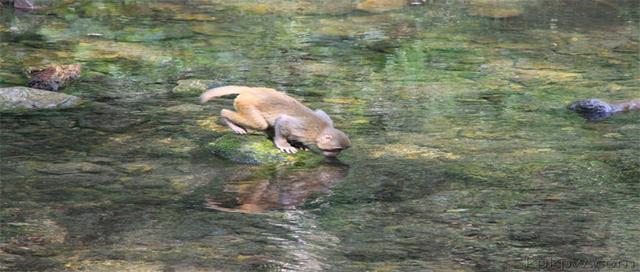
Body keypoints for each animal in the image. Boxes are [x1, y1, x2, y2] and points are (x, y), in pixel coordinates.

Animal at [199, 85, 350, 157]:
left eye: (340, 150)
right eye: (336, 149)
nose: (334, 155)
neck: (320, 132)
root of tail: (251, 90)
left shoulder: (325, 117)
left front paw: (299, 144)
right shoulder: (304, 129)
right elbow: (282, 121)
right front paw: (284, 144)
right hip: (246, 103)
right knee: (259, 124)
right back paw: (228, 118)